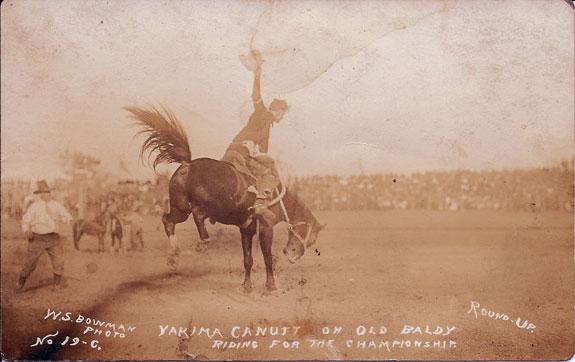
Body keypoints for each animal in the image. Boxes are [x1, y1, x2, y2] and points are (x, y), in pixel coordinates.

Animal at [126, 105, 324, 292]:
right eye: (312, 239)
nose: (290, 254)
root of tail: (188, 164)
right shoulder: (266, 226)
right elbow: (267, 257)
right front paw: (271, 286)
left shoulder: (246, 228)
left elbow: (248, 259)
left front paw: (247, 286)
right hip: (214, 206)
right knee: (198, 215)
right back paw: (203, 242)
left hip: (181, 208)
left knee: (168, 220)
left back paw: (174, 255)